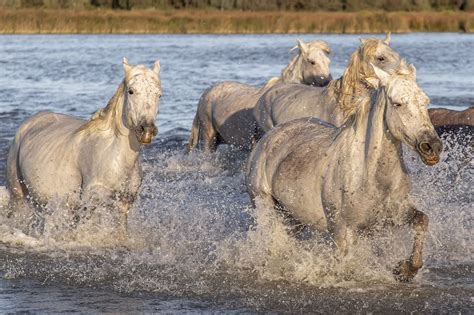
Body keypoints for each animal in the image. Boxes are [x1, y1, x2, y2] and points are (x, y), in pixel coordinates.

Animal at [246, 61, 442, 282]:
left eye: (425, 101)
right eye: (397, 103)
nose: (432, 147)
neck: (369, 176)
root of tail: (268, 138)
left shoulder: (395, 214)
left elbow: (421, 221)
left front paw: (404, 270)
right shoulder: (343, 230)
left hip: (292, 217)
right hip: (266, 206)